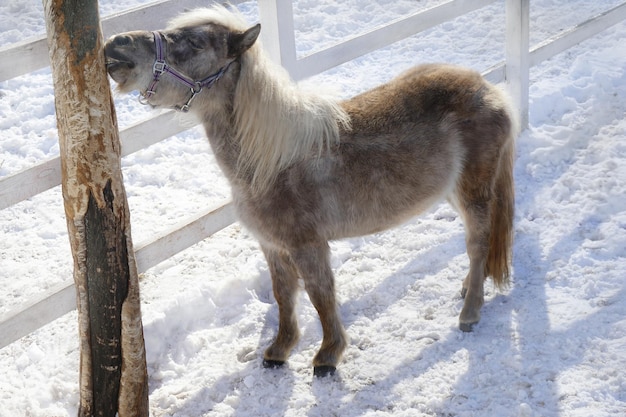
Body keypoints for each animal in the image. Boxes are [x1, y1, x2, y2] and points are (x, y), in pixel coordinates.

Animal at [105, 5, 516, 376]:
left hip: (474, 192)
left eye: (194, 42)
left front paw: (328, 355)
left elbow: (320, 295)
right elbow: (284, 295)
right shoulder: (272, 246)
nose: (115, 45)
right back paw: (468, 288)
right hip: (453, 191)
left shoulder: (308, 246)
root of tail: (488, 88)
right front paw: (279, 350)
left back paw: (470, 311)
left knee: (478, 244)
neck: (273, 161)